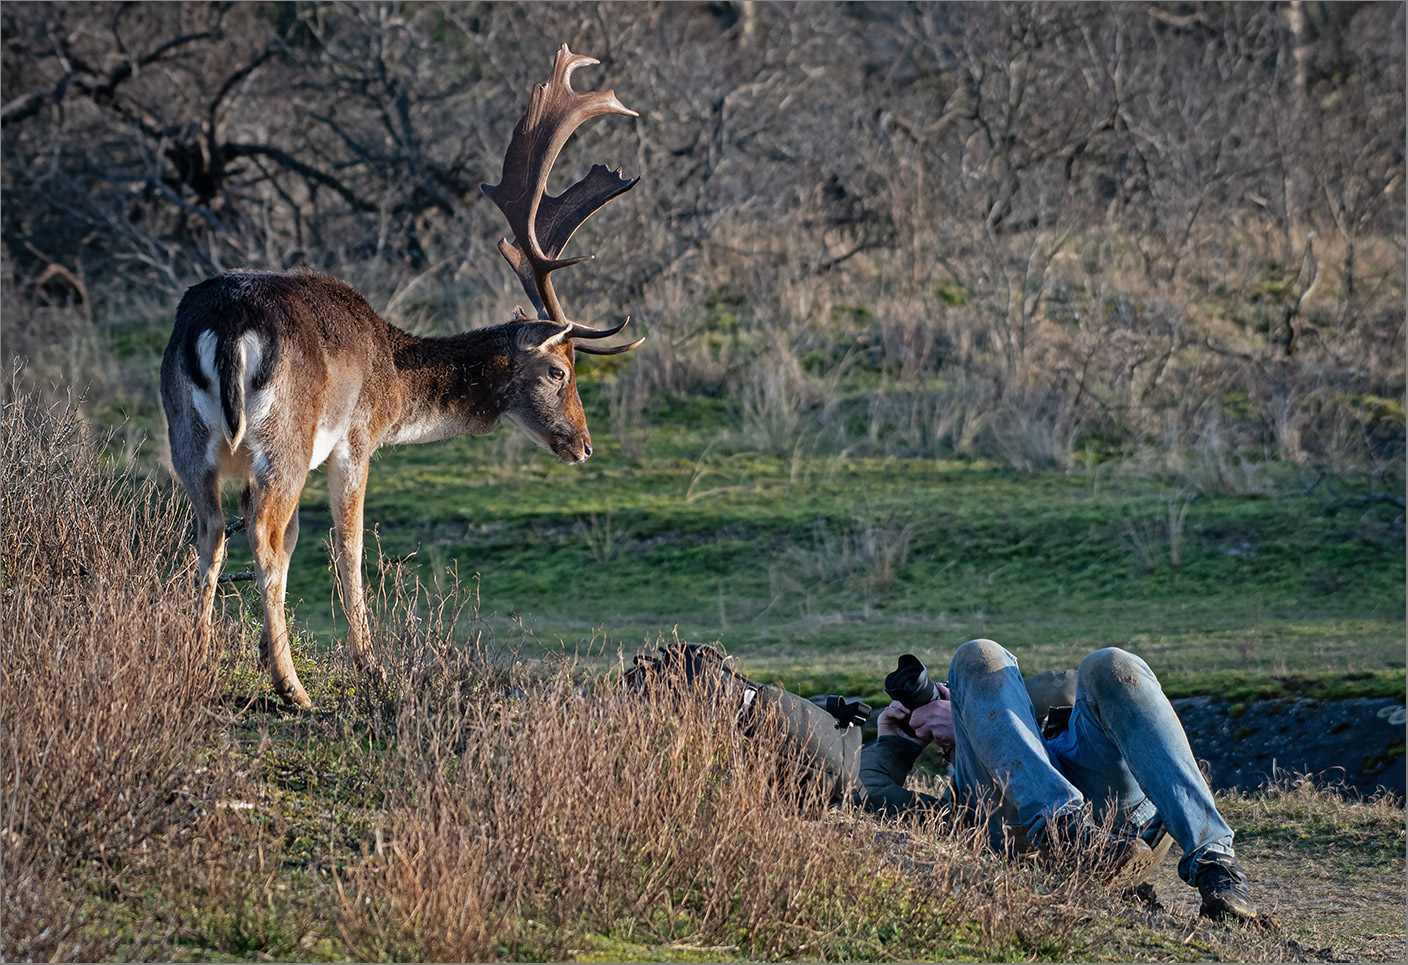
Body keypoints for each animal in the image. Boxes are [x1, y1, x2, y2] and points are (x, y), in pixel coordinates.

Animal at [161, 45, 642, 704]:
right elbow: (348, 546)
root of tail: (228, 326)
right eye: (557, 371)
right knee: (260, 533)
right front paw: (369, 664)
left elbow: (297, 543)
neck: (393, 379)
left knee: (211, 531)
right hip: (285, 439)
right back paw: (293, 687)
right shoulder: (356, 439)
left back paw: (197, 657)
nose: (585, 445)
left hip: (187, 437)